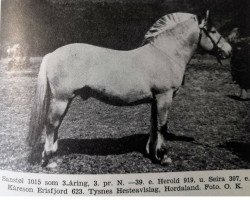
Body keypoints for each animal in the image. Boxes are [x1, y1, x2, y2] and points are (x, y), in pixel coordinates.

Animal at [26, 11, 230, 167]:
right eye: (213, 30)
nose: (229, 51)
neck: (166, 55)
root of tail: (53, 54)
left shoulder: (155, 100)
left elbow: (154, 125)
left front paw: (151, 152)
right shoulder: (164, 97)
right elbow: (163, 126)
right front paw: (164, 157)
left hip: (65, 100)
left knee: (56, 125)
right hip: (61, 99)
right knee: (51, 124)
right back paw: (49, 160)